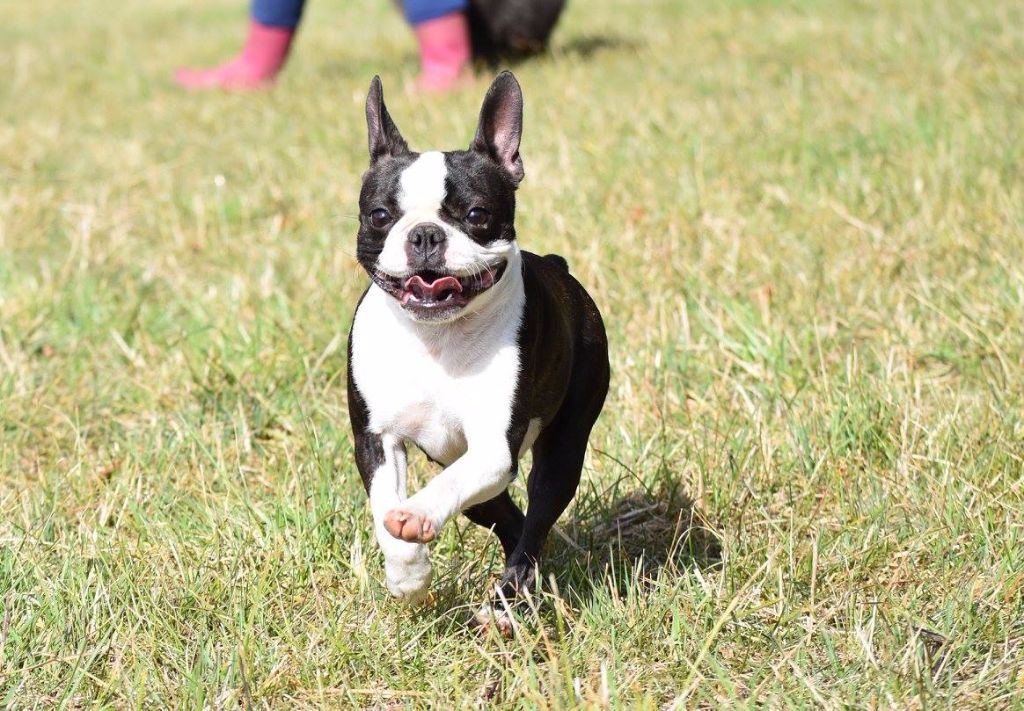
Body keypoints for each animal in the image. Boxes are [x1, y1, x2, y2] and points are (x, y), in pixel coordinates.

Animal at [347, 71, 609, 612]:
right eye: (380, 216)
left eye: (475, 214)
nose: (426, 234)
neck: (435, 337)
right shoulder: (377, 439)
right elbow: (385, 506)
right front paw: (407, 576)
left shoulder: (493, 448)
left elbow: (440, 490)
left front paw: (417, 517)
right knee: (507, 519)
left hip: (565, 441)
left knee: (536, 519)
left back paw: (510, 597)